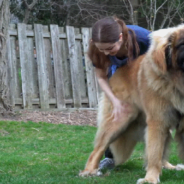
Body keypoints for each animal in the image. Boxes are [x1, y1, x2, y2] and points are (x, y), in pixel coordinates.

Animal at [80, 25, 184, 184]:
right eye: (182, 44)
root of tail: (117, 73)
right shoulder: (157, 120)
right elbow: (154, 153)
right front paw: (150, 179)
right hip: (120, 119)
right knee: (99, 148)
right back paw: (89, 171)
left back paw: (168, 166)